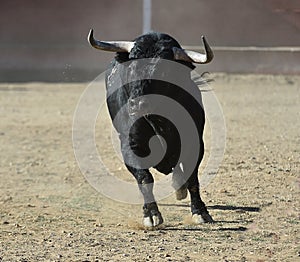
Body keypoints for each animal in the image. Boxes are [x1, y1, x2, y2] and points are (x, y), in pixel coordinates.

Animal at [88, 30, 214, 227]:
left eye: (164, 70)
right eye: (131, 68)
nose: (137, 104)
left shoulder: (194, 143)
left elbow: (192, 177)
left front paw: (200, 212)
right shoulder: (130, 146)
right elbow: (145, 179)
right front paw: (151, 214)